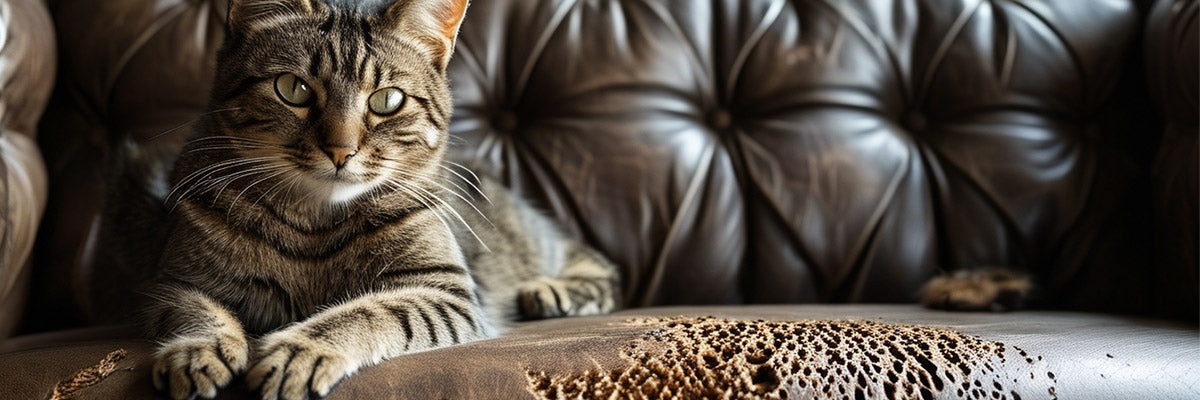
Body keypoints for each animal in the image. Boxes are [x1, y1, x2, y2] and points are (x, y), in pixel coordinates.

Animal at [142, 0, 619, 398]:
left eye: (387, 100)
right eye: (292, 88)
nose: (340, 150)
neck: (314, 222)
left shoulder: (444, 291)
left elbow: (372, 312)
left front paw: (302, 349)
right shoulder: (176, 280)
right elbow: (196, 313)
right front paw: (196, 350)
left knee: (599, 268)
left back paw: (551, 291)